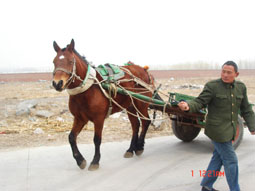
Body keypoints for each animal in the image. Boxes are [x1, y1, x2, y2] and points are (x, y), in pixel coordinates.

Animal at [52, 39, 153, 171]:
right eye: (54, 62)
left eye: (70, 61)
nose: (57, 83)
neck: (88, 89)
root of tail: (143, 69)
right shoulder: (79, 119)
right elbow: (71, 137)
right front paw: (80, 160)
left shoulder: (98, 118)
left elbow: (97, 140)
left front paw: (95, 161)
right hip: (130, 106)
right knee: (135, 125)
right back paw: (131, 149)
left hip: (141, 104)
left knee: (146, 121)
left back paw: (140, 146)